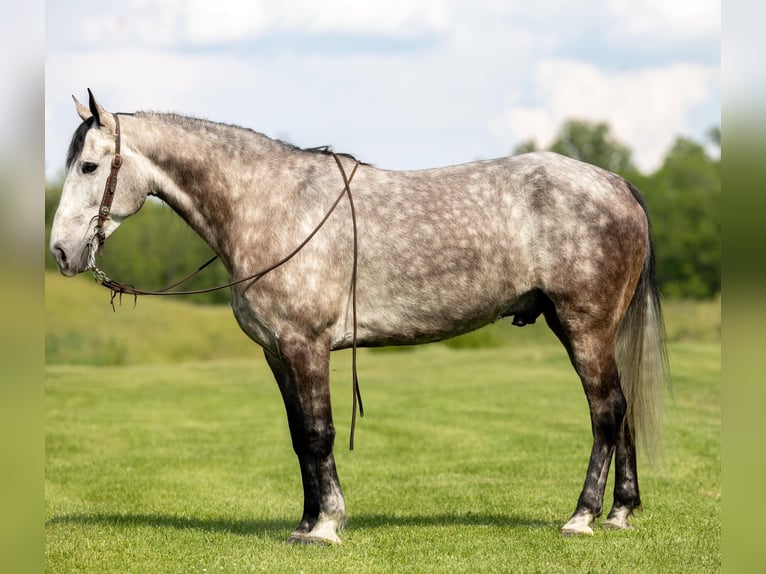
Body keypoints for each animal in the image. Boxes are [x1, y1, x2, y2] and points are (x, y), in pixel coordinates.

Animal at [49, 90, 668, 544]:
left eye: (89, 165)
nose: (61, 252)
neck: (271, 206)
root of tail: (618, 185)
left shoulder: (306, 346)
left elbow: (319, 433)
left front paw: (326, 527)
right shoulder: (277, 352)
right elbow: (299, 437)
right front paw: (305, 523)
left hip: (583, 327)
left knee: (606, 411)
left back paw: (582, 517)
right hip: (592, 330)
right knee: (621, 409)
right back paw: (620, 512)